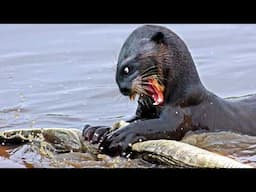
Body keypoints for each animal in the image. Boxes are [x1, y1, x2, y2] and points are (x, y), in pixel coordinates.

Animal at [82, 24, 256, 157]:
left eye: (127, 68)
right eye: (117, 70)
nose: (123, 88)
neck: (180, 96)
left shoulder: (181, 115)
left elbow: (155, 126)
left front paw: (120, 136)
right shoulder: (144, 112)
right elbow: (134, 119)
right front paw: (96, 130)